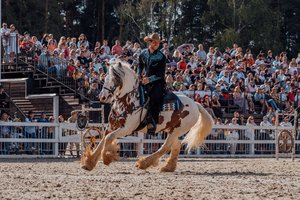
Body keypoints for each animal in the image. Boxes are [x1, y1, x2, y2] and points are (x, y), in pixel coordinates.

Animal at [81, 60, 214, 172]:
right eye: (105, 78)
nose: (102, 97)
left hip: (177, 130)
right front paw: (89, 163)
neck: (128, 100)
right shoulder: (111, 126)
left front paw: (106, 158)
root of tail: (195, 104)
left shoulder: (127, 129)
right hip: (171, 129)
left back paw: (144, 163)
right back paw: (167, 167)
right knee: (175, 146)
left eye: (115, 79)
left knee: (165, 147)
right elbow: (102, 141)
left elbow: (108, 138)